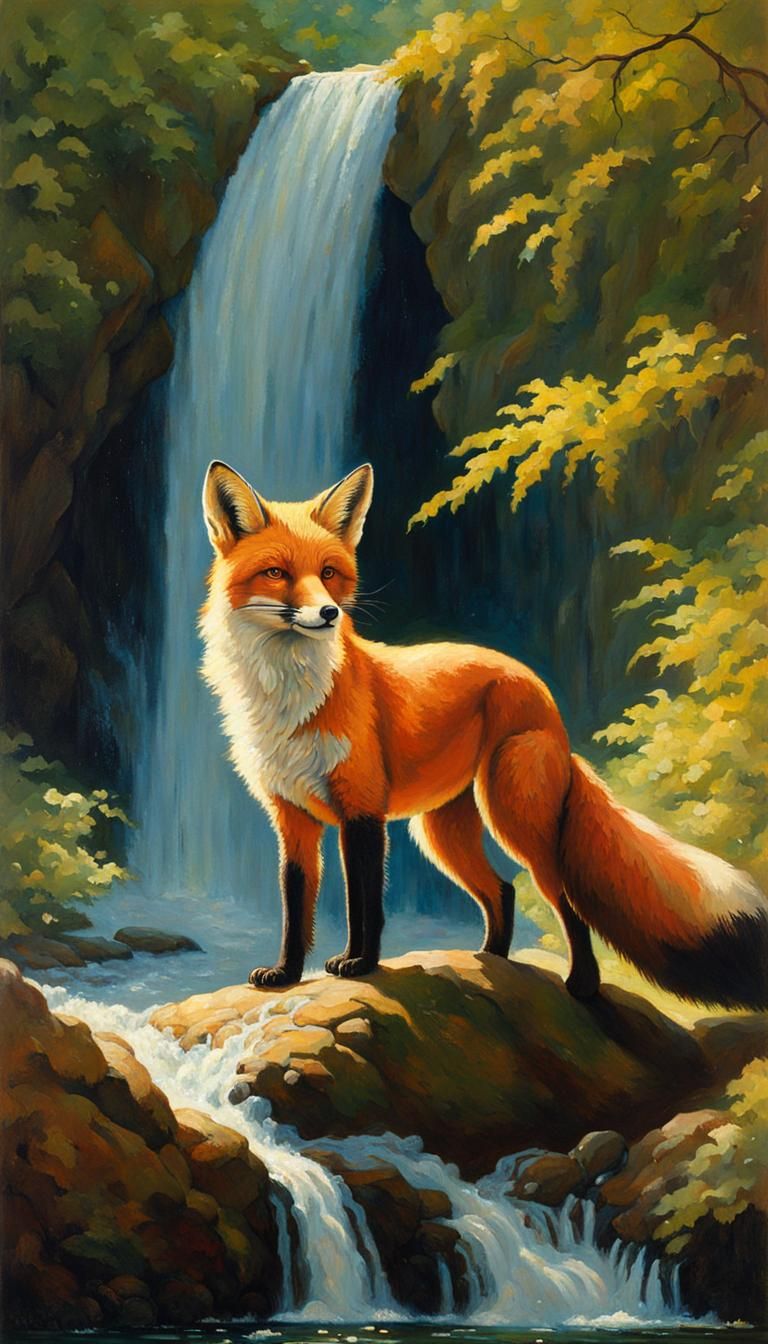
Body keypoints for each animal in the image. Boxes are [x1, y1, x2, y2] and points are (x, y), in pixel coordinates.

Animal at [200, 459, 768, 1008]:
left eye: (329, 573)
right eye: (276, 573)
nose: (329, 613)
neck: (290, 702)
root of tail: (543, 696)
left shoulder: (361, 810)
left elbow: (364, 904)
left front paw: (360, 963)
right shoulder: (292, 819)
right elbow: (296, 910)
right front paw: (286, 975)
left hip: (514, 819)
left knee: (565, 901)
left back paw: (582, 985)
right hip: (442, 833)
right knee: (502, 892)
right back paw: (492, 962)